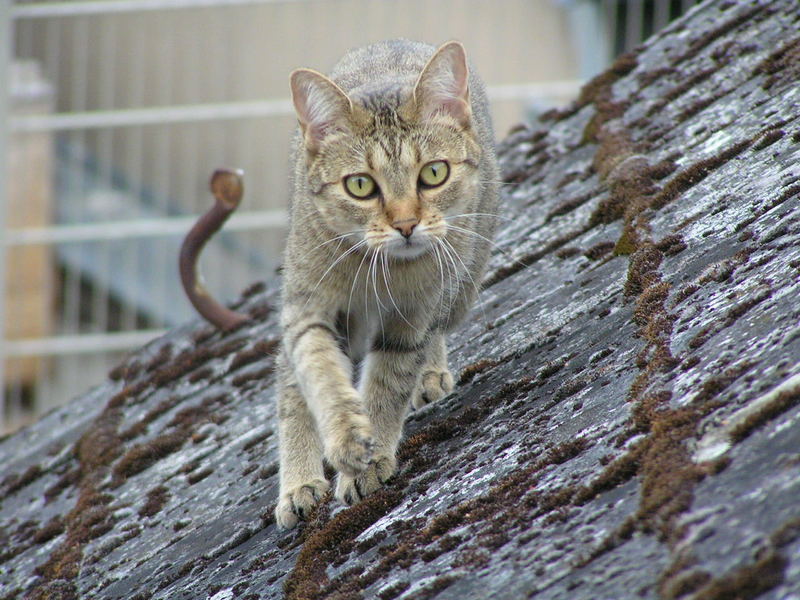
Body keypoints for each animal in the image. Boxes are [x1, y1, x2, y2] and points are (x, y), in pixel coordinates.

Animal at [276, 37, 500, 528]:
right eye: (360, 185)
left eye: (434, 173)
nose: (406, 225)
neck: (376, 271)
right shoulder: (304, 313)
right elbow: (316, 379)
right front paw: (334, 448)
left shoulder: (409, 322)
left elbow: (386, 387)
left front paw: (371, 458)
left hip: (460, 288)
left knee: (436, 333)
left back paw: (431, 375)